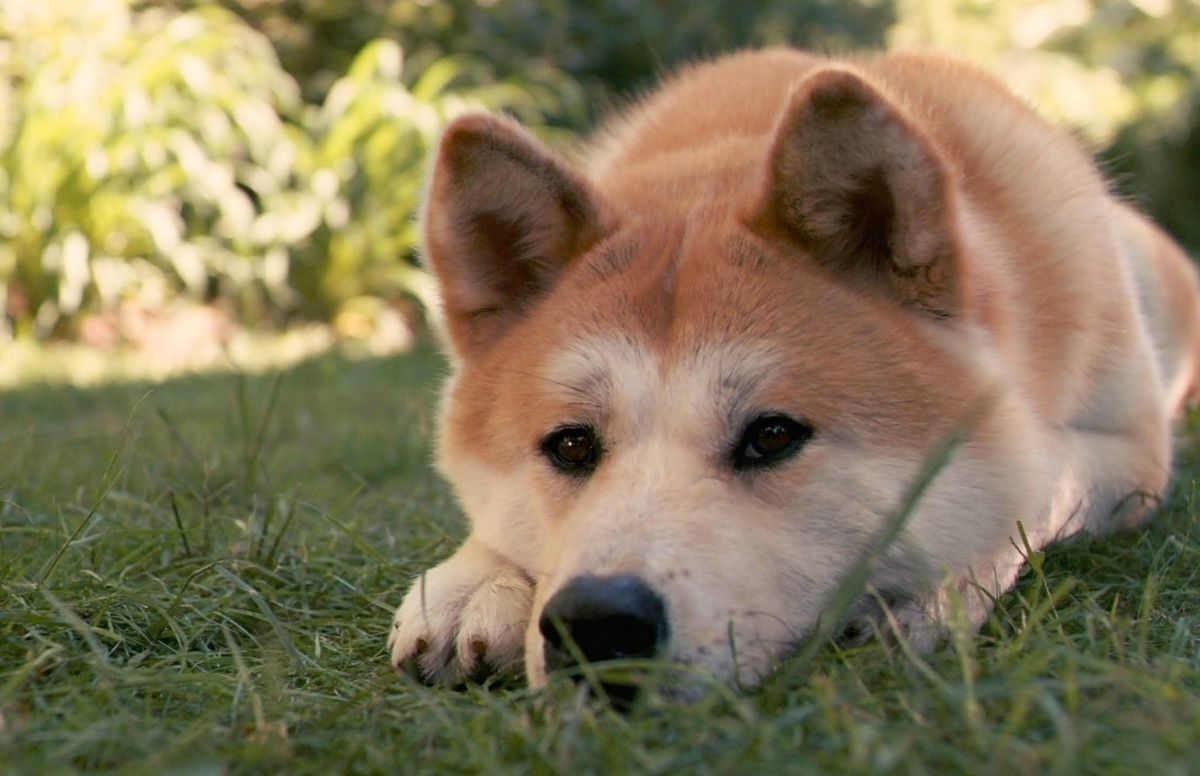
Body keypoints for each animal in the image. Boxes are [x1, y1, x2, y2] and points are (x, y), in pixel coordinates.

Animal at [388, 48, 1195, 700]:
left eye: (772, 436)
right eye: (571, 445)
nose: (597, 622)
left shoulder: (1128, 454)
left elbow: (1041, 482)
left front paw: (935, 590)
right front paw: (476, 580)